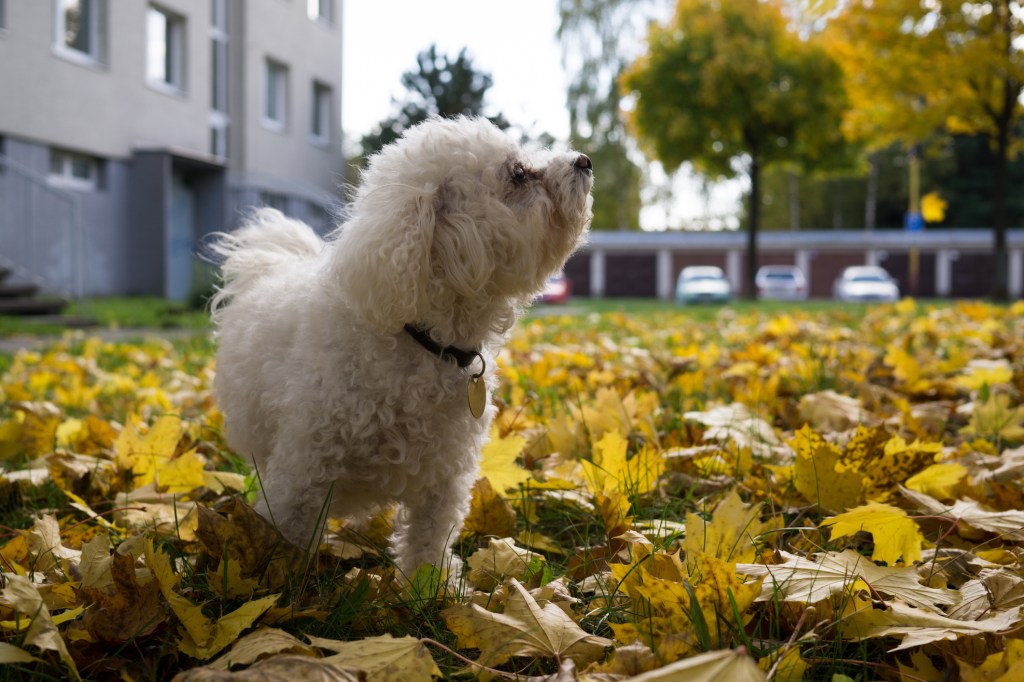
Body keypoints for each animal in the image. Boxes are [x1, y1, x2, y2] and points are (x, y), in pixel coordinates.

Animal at [208, 116, 593, 573]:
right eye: (518, 174)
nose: (584, 160)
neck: (424, 338)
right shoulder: (303, 468)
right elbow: (288, 532)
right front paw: (279, 579)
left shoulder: (445, 477)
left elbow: (429, 540)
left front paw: (433, 585)